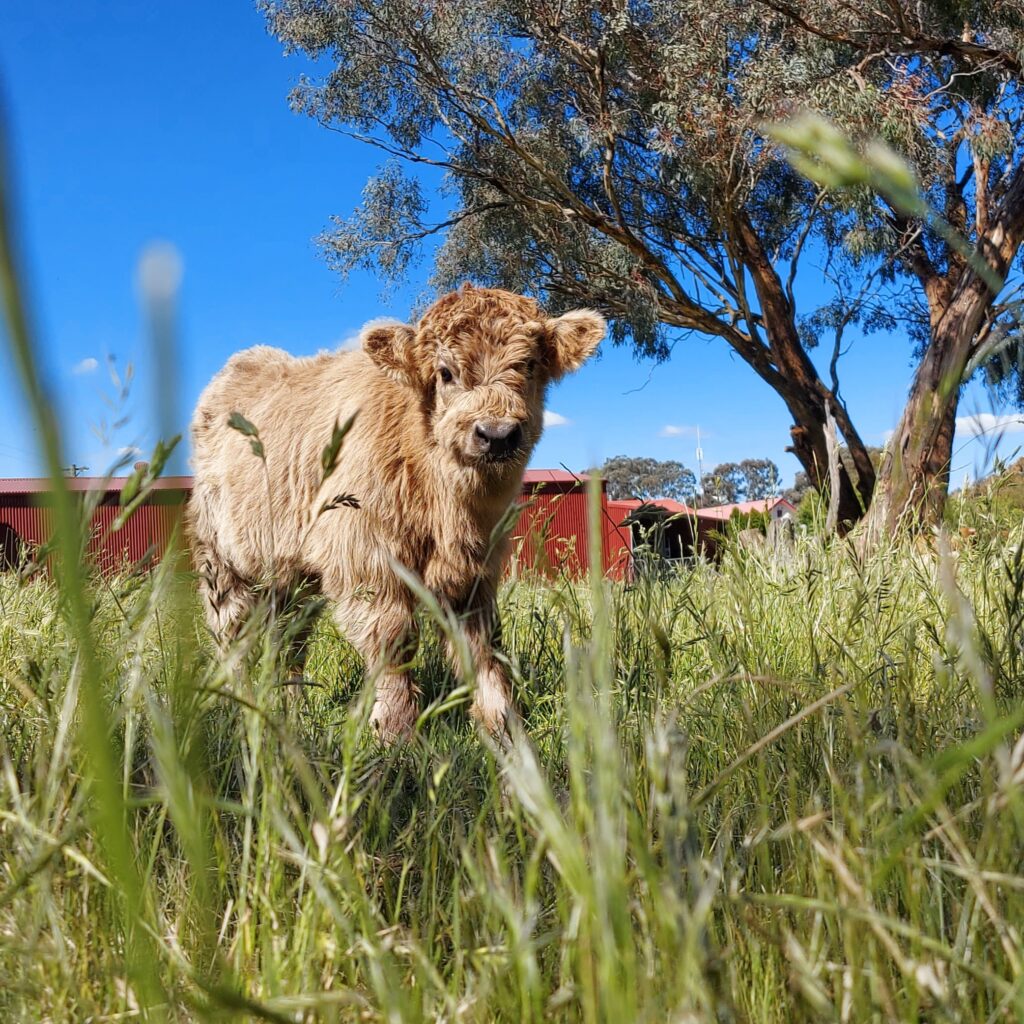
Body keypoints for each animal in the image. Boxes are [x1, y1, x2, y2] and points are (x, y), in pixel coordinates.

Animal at [188, 284, 602, 741]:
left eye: (528, 365)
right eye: (445, 372)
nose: (496, 435)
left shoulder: (474, 569)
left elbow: (482, 647)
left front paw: (501, 724)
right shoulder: (367, 559)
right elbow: (392, 639)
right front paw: (395, 731)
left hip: (292, 574)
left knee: (290, 640)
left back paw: (290, 710)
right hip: (221, 561)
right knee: (232, 635)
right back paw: (239, 710)